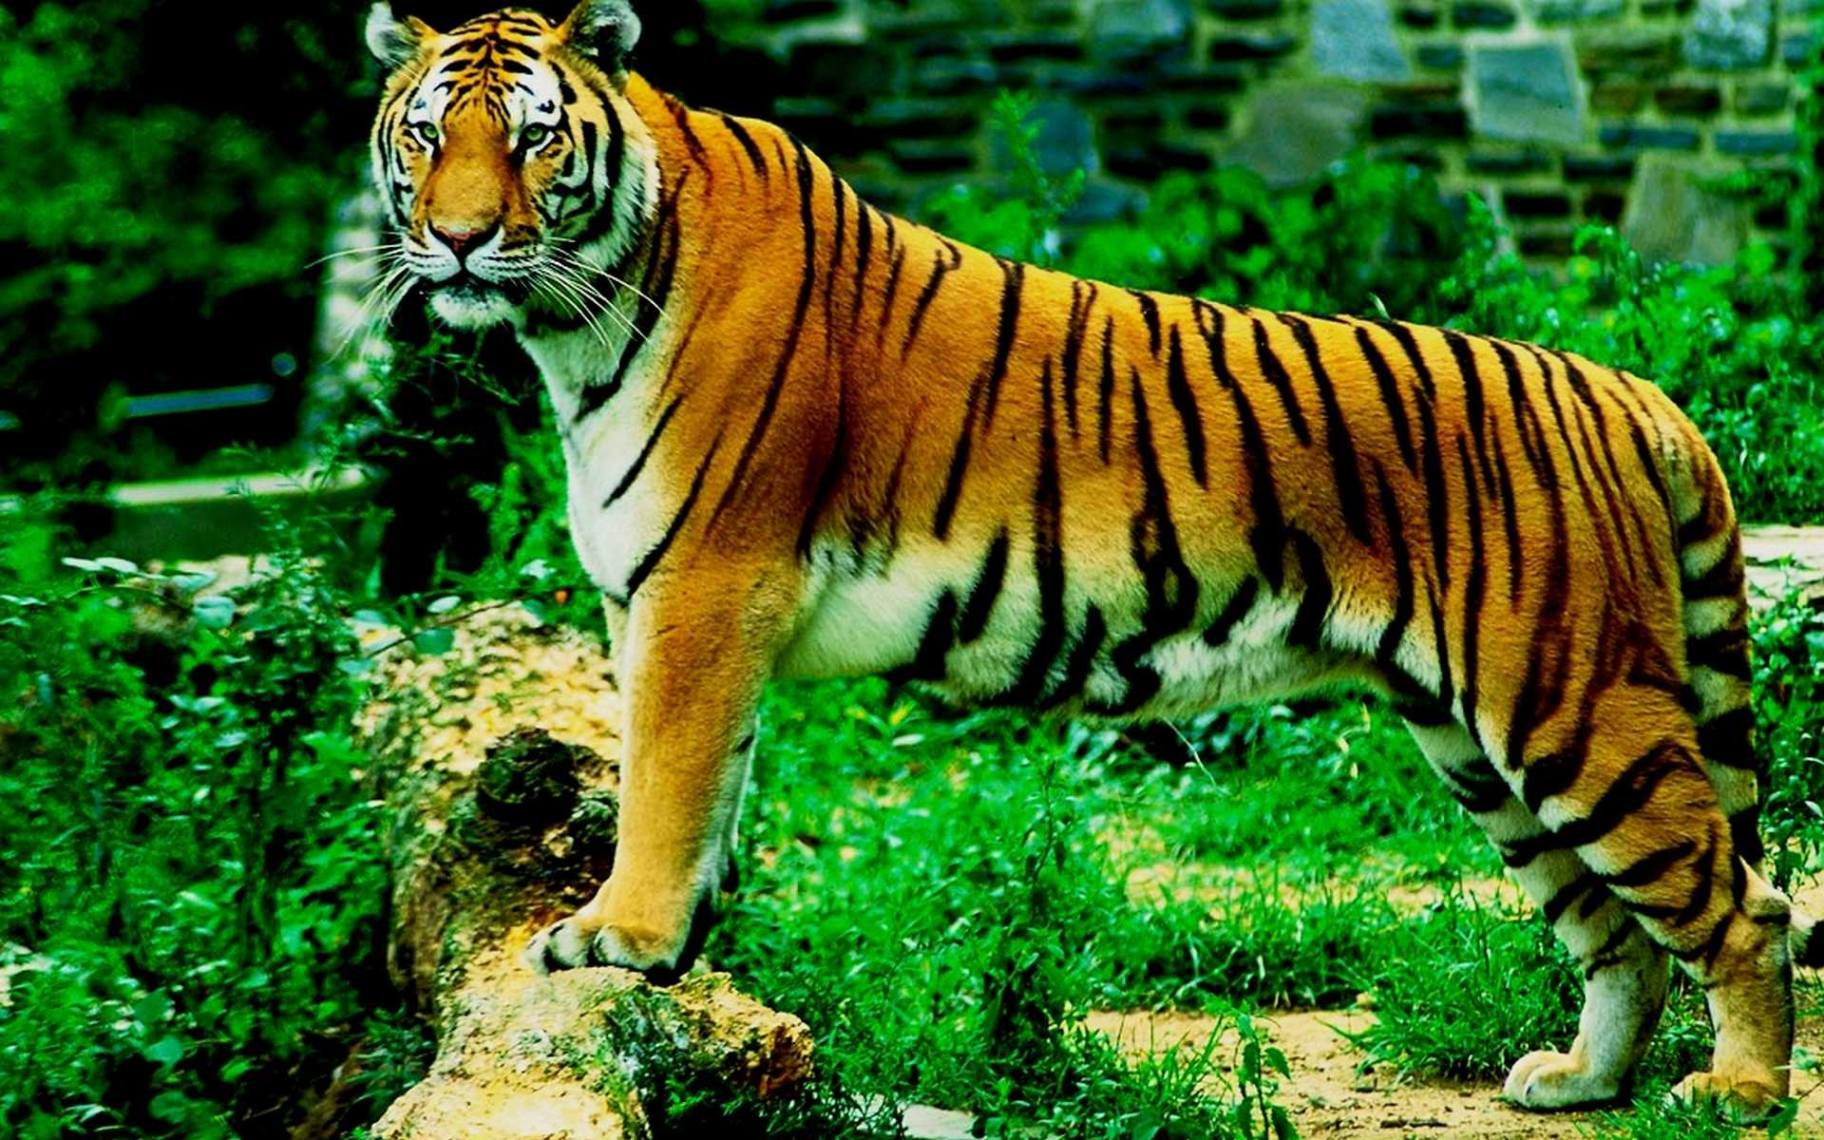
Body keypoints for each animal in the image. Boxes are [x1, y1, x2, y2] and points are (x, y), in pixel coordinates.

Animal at [364, 0, 1815, 1117]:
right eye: (427, 134)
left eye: (534, 134)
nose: (458, 238)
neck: (575, 324)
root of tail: (1624, 387)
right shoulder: (670, 605)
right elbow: (704, 786)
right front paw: (678, 953)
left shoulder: (705, 587)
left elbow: (662, 783)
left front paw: (620, 938)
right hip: (1481, 746)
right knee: (1618, 932)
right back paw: (1581, 1083)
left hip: (1577, 707)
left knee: (1745, 906)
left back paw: (1737, 1094)